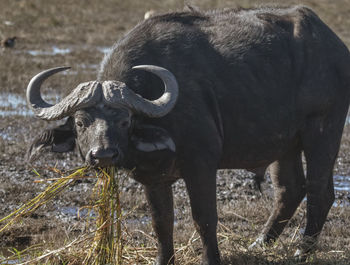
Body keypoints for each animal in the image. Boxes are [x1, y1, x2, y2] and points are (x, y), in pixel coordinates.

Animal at [26, 5, 350, 264]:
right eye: (81, 122)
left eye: (124, 121)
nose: (103, 154)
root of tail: (335, 46)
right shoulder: (154, 178)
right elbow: (161, 223)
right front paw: (164, 259)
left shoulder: (201, 166)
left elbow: (204, 219)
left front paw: (212, 259)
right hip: (284, 145)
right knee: (289, 189)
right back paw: (260, 243)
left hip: (323, 130)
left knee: (320, 191)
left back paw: (302, 250)